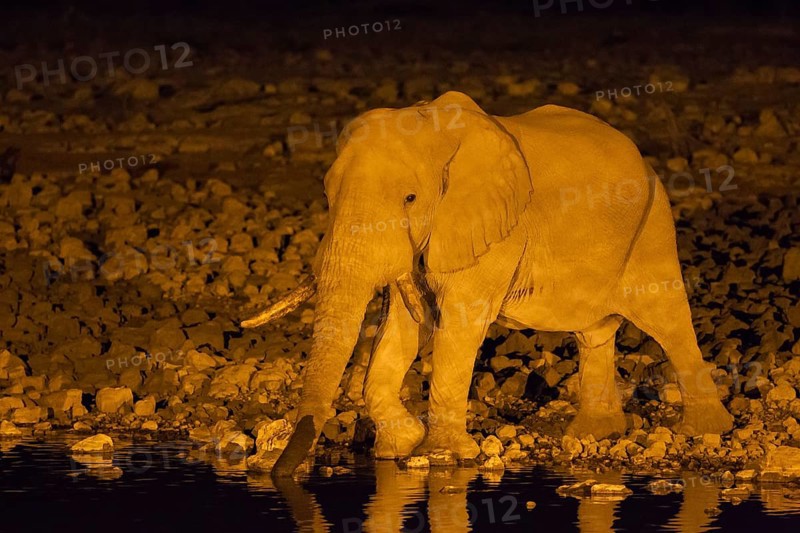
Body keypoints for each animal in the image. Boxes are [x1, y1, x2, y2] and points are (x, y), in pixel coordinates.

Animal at [242, 91, 734, 476]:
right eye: (327, 195)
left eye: (410, 198)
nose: (280, 476)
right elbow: (403, 325)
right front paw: (401, 447)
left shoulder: (493, 227)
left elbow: (458, 326)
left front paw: (444, 456)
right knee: (594, 334)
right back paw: (595, 432)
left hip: (654, 225)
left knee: (668, 320)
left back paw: (706, 430)